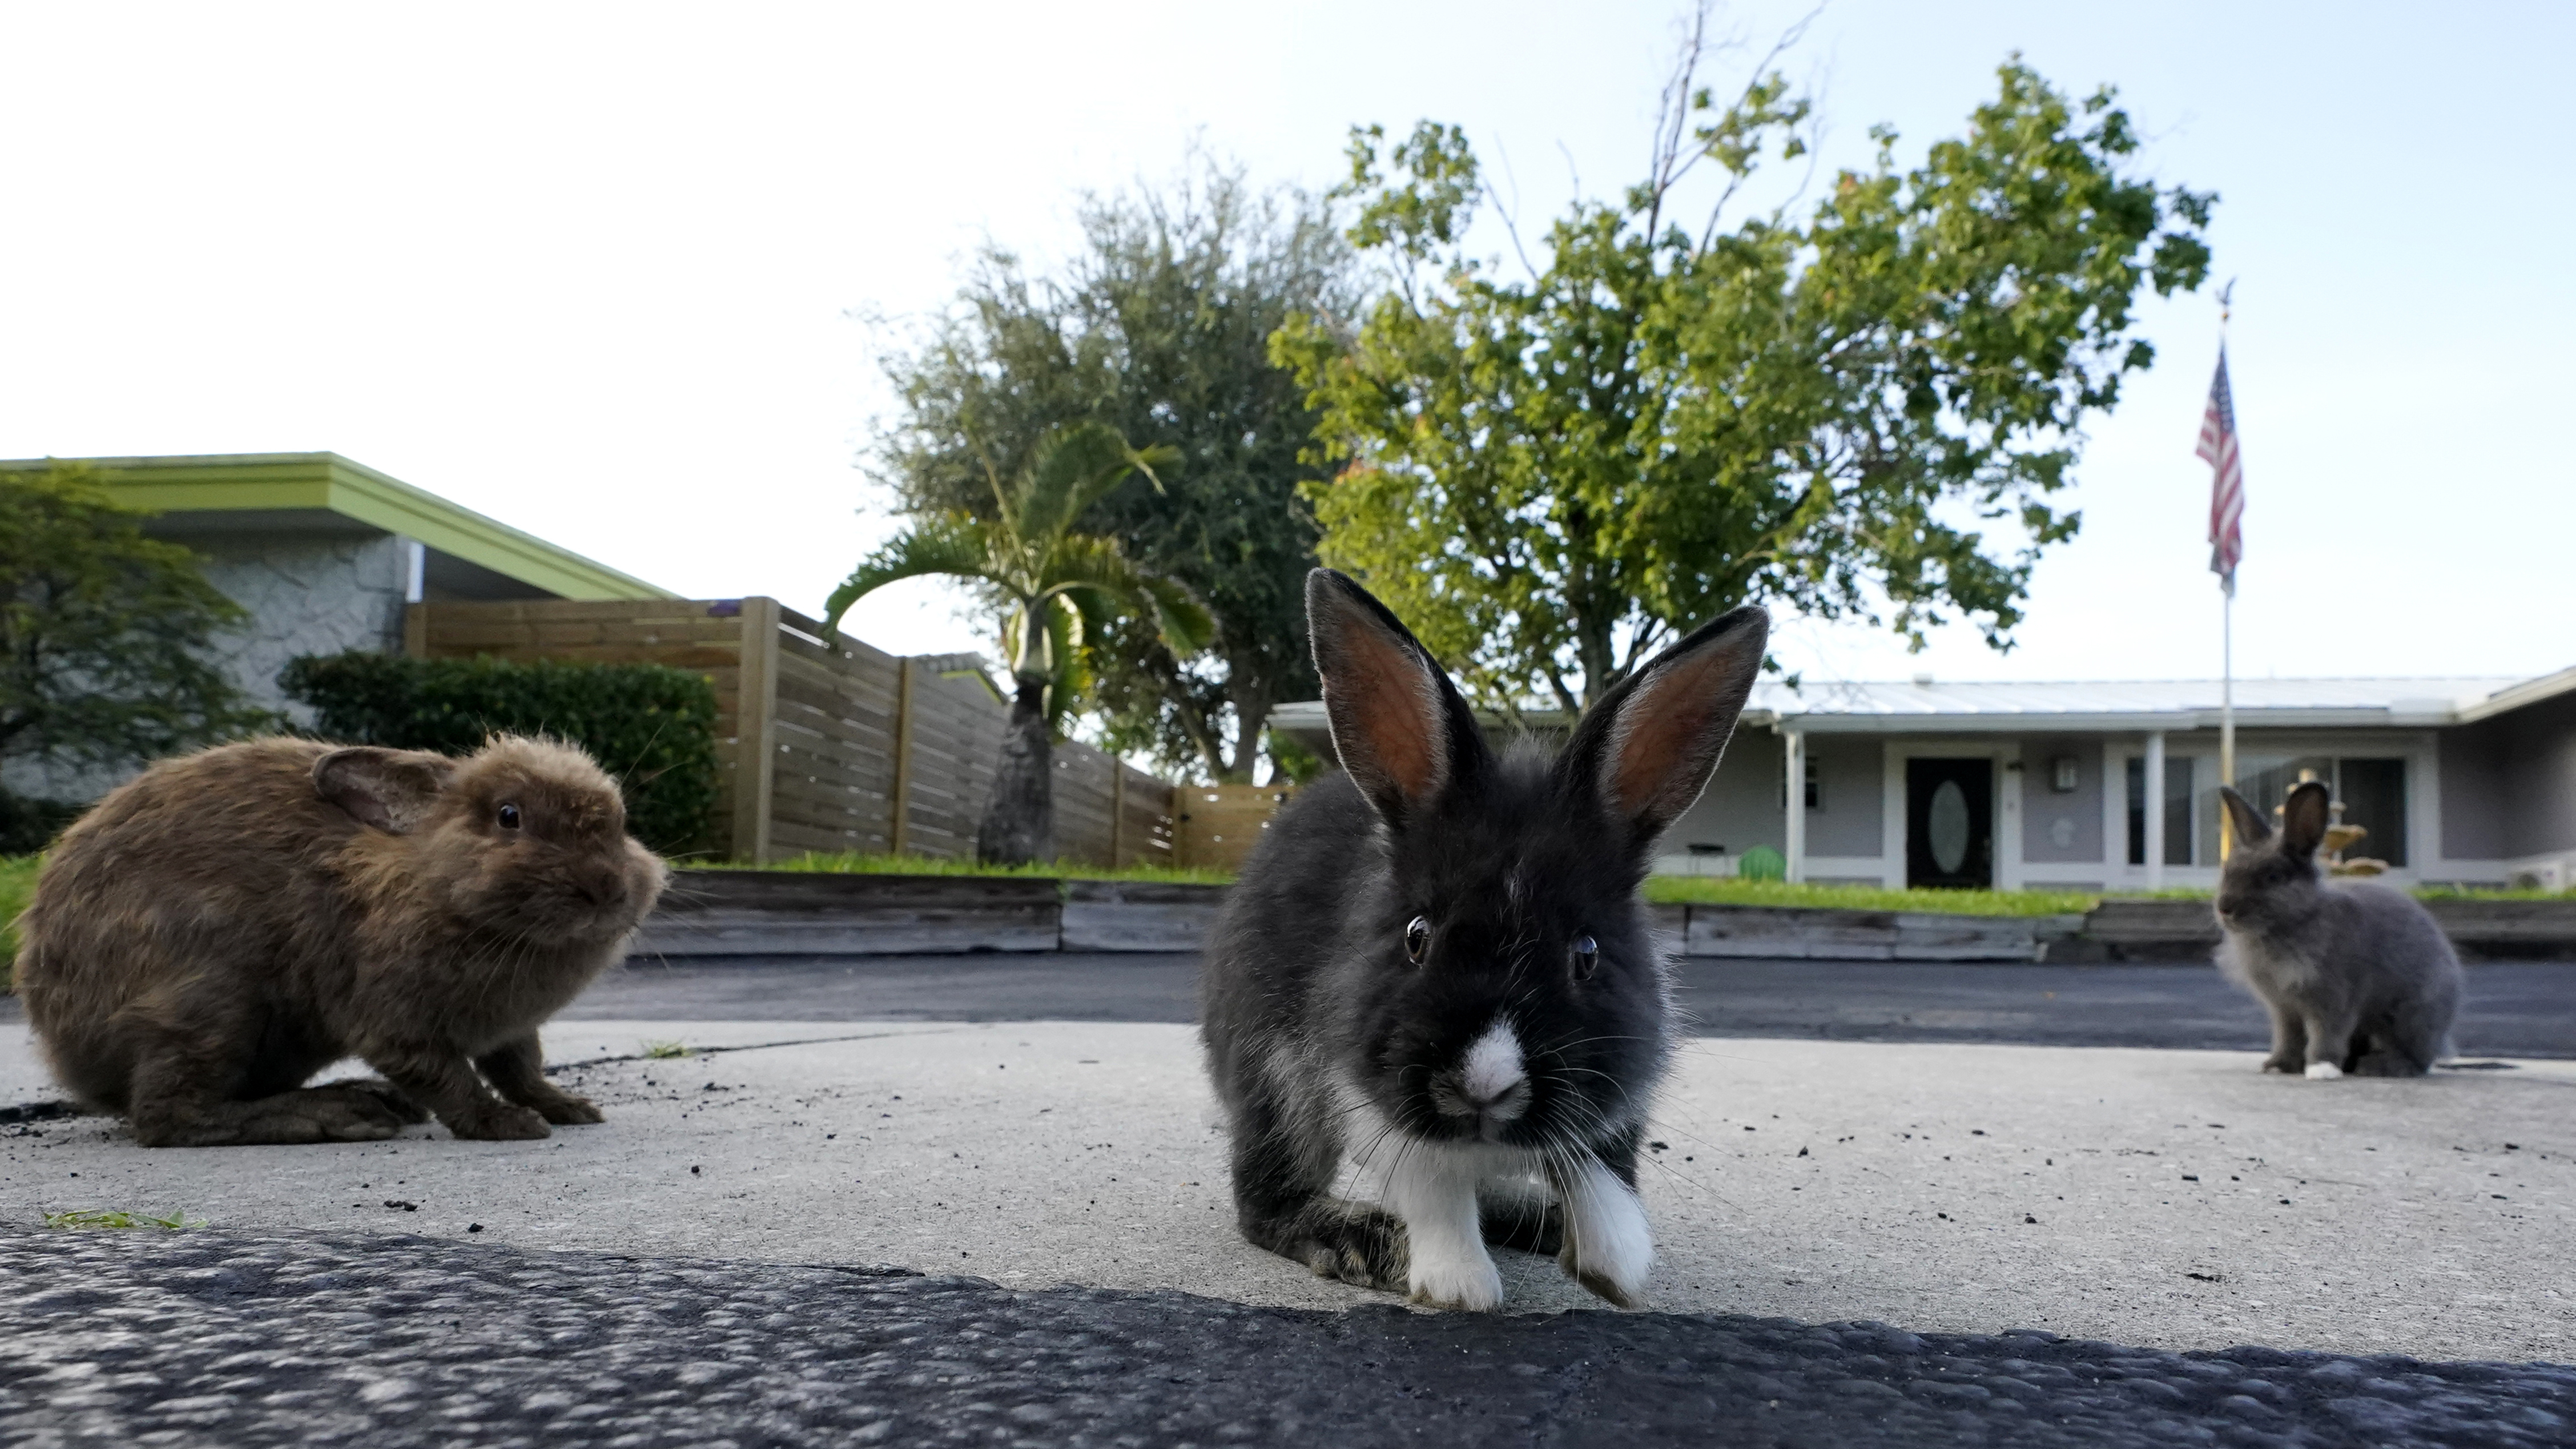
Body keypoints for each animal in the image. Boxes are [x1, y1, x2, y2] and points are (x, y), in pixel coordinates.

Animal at [14, 734, 668, 1147]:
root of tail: (67, 1049)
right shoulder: (391, 1022)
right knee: (166, 1117)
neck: (431, 886)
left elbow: (521, 1068)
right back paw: (338, 1115)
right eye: (510, 816)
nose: (606, 889)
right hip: (210, 1002)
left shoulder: (509, 1028)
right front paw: (507, 1126)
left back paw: (372, 1099)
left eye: (621, 823)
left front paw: (571, 1109)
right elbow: (450, 1078)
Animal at [1201, 569, 1767, 1311]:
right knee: (1265, 1201)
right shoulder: (1367, 1093)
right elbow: (1434, 1186)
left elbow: (1600, 1174)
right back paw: (1364, 1240)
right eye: (1417, 937)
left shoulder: (1615, 1098)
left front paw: (1614, 1265)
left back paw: (1536, 1218)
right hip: (1274, 1083)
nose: (1484, 1086)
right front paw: (1460, 1285)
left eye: (1586, 955)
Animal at [2213, 780, 2461, 1079]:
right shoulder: (2284, 1009)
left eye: (2273, 876)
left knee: (2417, 1058)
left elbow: (2325, 1037)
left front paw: (2322, 1069)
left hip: (2409, 1017)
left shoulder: (2334, 1000)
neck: (2293, 922)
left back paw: (2380, 1067)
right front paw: (2278, 1066)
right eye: (2228, 870)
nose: (2224, 908)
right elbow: (2288, 1038)